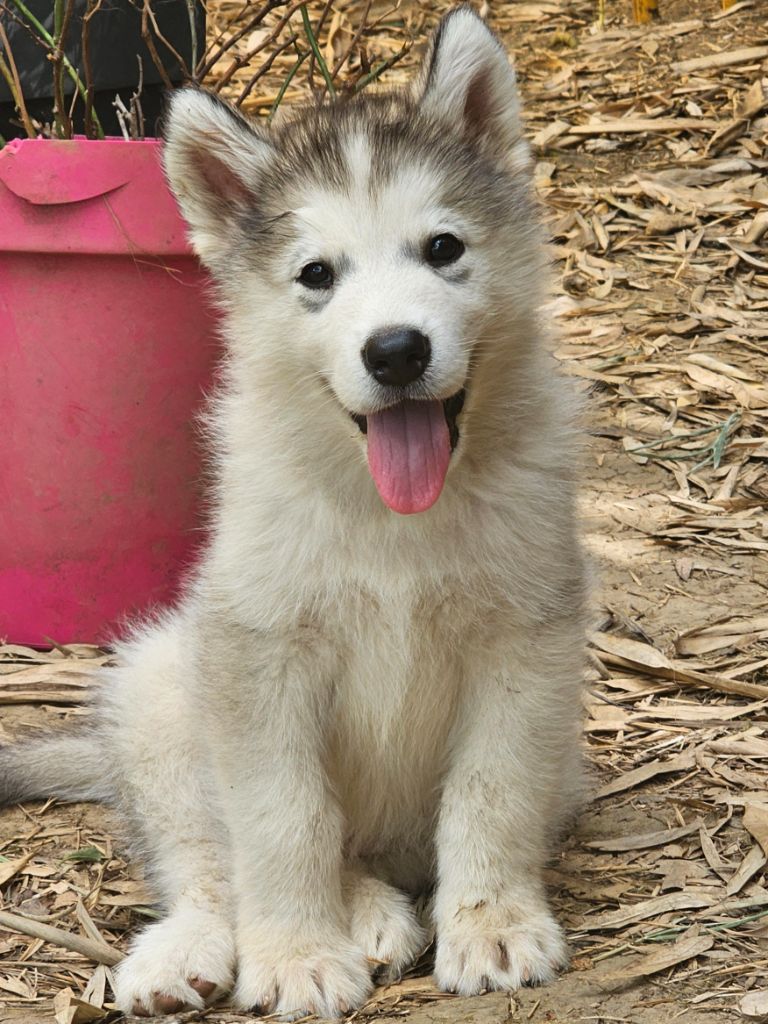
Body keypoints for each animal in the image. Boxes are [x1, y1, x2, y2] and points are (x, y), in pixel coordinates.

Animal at [1, 6, 589, 1015]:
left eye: (444, 249)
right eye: (317, 274)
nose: (395, 350)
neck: (393, 517)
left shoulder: (525, 648)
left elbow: (491, 795)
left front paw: (494, 925)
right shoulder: (261, 658)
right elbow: (285, 821)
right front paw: (296, 954)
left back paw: (380, 910)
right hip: (163, 691)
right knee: (207, 861)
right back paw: (203, 947)